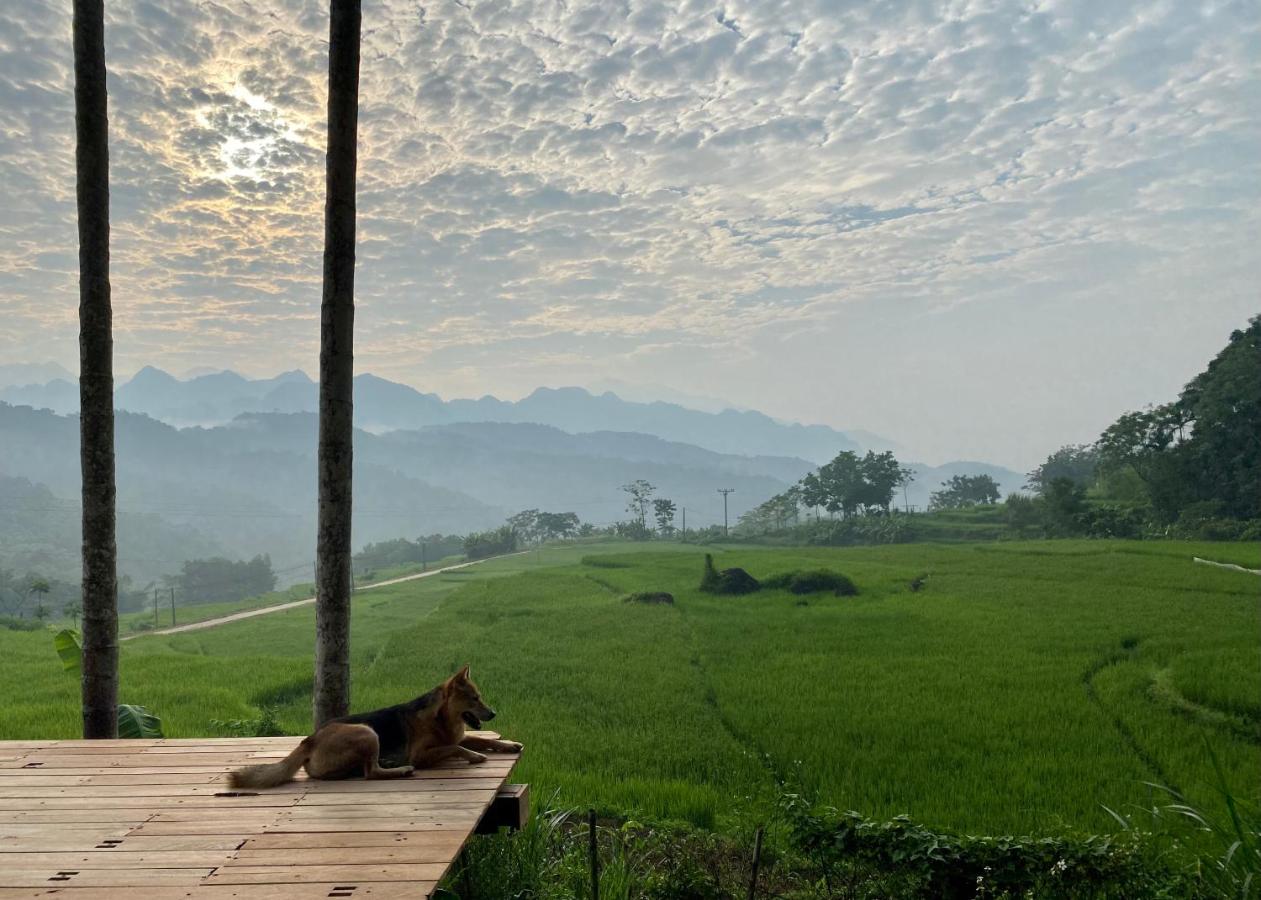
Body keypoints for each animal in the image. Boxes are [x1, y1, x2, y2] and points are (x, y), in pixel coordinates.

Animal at [228, 665, 522, 786]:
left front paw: (509, 745)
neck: (440, 717)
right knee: (371, 773)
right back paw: (400, 769)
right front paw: (474, 756)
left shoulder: (459, 736)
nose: (493, 713)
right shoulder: (423, 754)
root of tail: (309, 739)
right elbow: (456, 748)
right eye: (475, 698)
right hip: (366, 732)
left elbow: (482, 740)